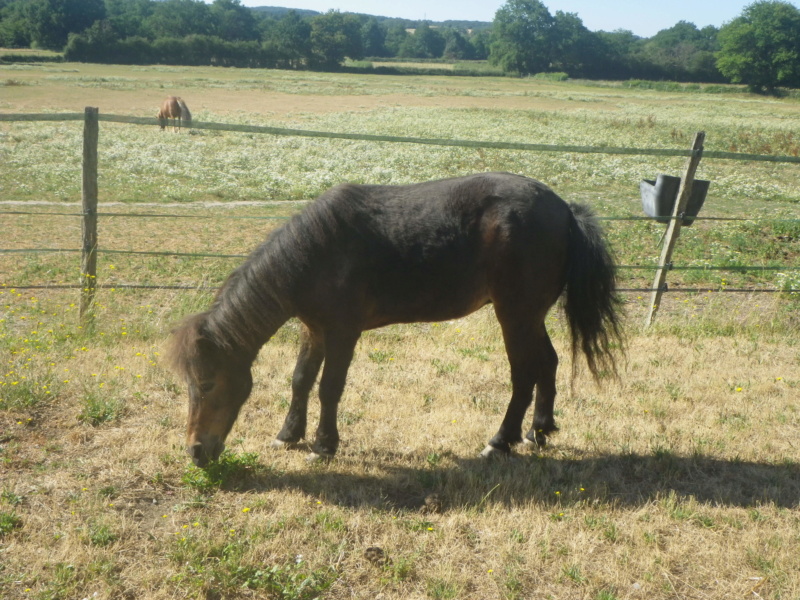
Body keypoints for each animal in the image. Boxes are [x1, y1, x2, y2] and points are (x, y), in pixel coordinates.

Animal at [167, 171, 624, 466]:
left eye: (206, 384)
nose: (195, 452)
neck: (316, 253)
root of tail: (566, 210)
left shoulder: (343, 333)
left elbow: (329, 388)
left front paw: (323, 445)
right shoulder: (313, 330)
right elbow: (300, 380)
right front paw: (288, 435)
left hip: (514, 315)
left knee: (524, 374)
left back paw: (500, 442)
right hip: (530, 315)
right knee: (548, 362)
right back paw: (539, 431)